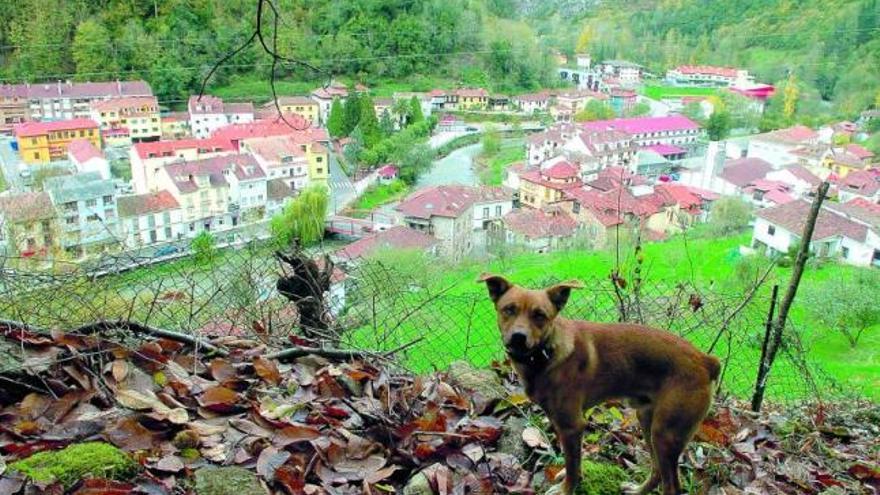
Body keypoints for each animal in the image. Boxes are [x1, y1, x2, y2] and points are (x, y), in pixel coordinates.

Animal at [482, 276, 720, 495]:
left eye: (540, 315)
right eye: (508, 310)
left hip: (666, 434)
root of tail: (705, 361)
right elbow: (574, 462)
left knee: (671, 486)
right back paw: (637, 490)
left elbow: (572, 466)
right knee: (657, 471)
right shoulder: (560, 422)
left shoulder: (571, 426)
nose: (518, 337)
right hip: (648, 422)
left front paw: (565, 489)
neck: (546, 353)